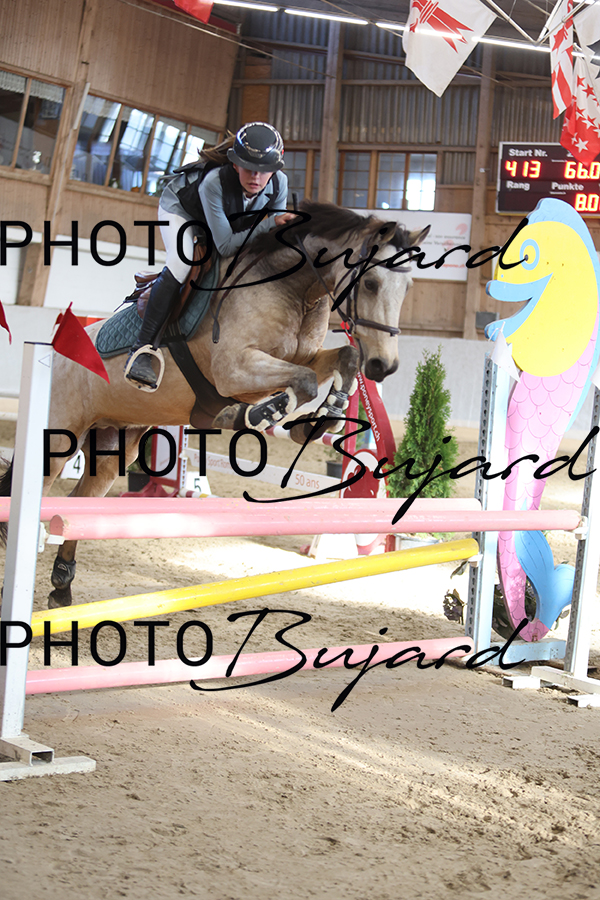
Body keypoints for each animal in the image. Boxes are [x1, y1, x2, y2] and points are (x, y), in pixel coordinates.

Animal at [1, 200, 428, 607]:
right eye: (370, 282)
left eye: (408, 287)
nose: (384, 365)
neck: (295, 290)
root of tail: (53, 355)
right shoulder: (235, 370)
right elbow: (301, 383)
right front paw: (262, 413)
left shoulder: (305, 357)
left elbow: (342, 360)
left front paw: (323, 420)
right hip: (59, 439)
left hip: (114, 445)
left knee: (80, 502)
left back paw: (62, 587)